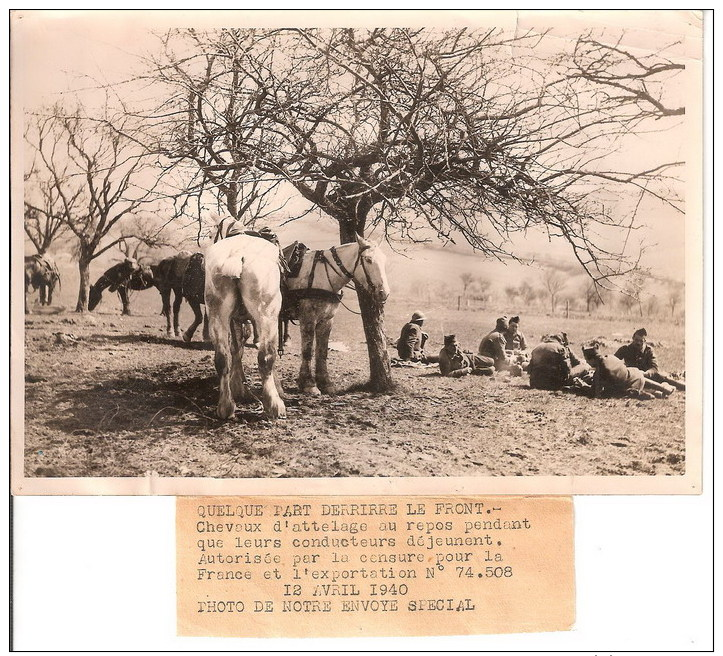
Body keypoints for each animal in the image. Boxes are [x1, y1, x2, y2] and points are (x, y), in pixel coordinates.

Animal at [204, 236, 286, 420]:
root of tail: (236, 254)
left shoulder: (235, 319)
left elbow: (236, 348)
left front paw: (238, 387)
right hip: (267, 313)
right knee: (266, 357)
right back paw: (274, 405)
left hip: (217, 314)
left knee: (222, 358)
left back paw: (226, 407)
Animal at [288, 237, 394, 398]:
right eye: (368, 259)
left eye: (384, 260)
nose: (384, 293)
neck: (322, 275)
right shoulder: (308, 319)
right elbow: (307, 351)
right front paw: (308, 384)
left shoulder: (327, 321)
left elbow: (322, 351)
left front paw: (326, 383)